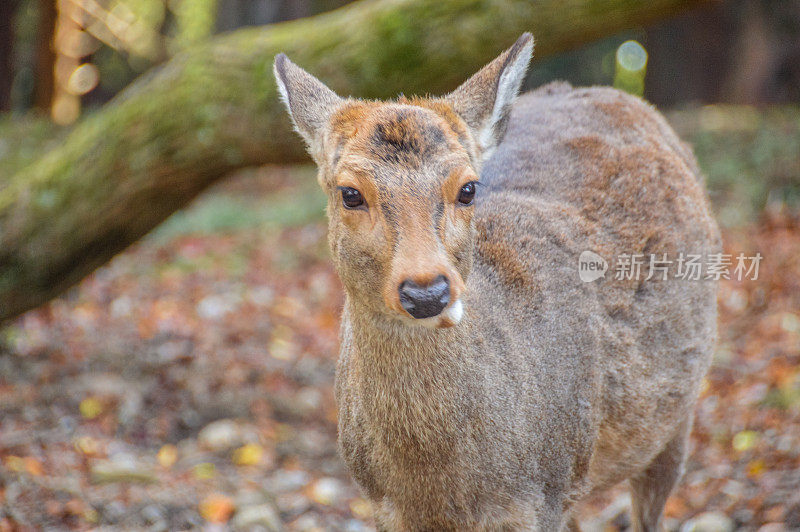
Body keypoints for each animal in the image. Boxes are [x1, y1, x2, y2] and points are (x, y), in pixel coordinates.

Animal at [272, 34, 720, 532]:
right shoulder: (381, 503)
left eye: (468, 189)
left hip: (677, 413)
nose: (426, 291)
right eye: (350, 193)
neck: (441, 495)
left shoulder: (544, 491)